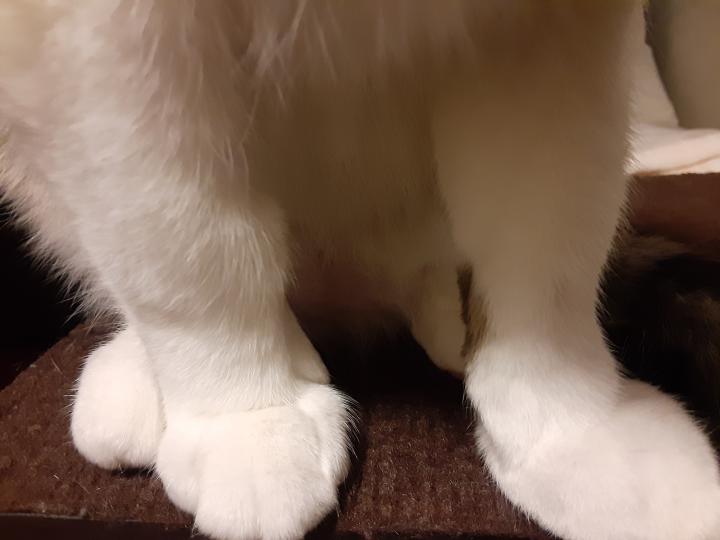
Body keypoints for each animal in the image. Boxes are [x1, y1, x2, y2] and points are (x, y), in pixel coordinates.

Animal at [1, 2, 719, 539]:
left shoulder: (545, 39)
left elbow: (546, 249)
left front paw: (570, 430)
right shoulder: (109, 43)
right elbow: (185, 243)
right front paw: (249, 419)